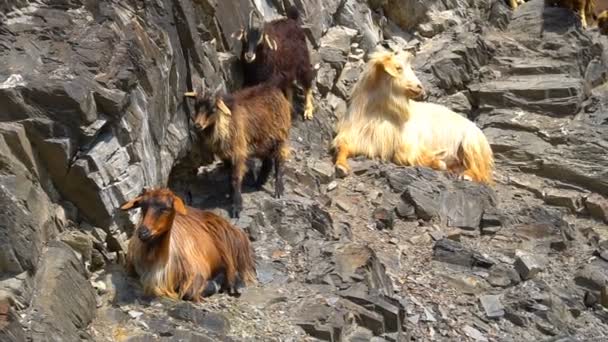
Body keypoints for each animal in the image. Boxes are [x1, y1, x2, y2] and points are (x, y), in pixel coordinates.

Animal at [121, 187, 256, 302]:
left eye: (166, 208)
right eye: (143, 206)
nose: (143, 232)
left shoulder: (197, 272)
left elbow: (189, 293)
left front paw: (216, 283)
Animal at [184, 75, 290, 219]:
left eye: (213, 109)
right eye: (196, 106)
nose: (197, 125)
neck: (227, 123)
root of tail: (275, 89)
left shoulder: (238, 152)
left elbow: (235, 178)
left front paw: (236, 207)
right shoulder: (226, 155)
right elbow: (229, 177)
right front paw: (230, 196)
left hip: (280, 136)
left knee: (279, 159)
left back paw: (278, 189)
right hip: (263, 141)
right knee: (267, 160)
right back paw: (258, 183)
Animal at [332, 48, 494, 184]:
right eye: (398, 68)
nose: (420, 87)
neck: (379, 113)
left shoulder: (408, 142)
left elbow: (402, 156)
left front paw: (437, 161)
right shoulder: (358, 136)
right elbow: (343, 147)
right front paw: (341, 167)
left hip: (471, 144)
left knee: (480, 171)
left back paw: (466, 175)